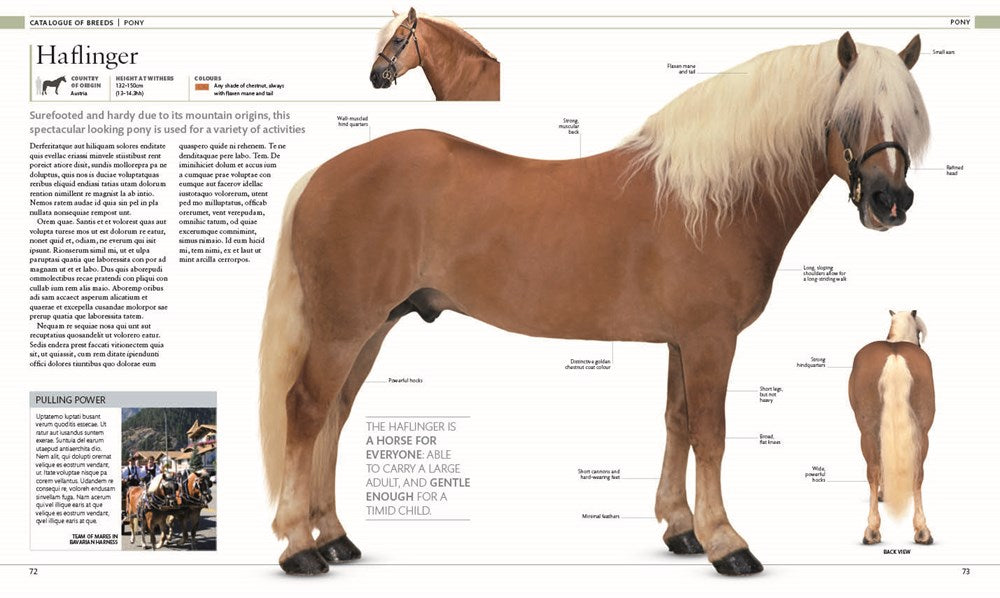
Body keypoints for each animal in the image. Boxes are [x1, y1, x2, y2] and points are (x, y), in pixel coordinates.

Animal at [848, 310, 934, 546]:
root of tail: (894, 356)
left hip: (867, 433)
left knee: (873, 471)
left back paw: (872, 531)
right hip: (922, 433)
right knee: (918, 473)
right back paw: (922, 531)